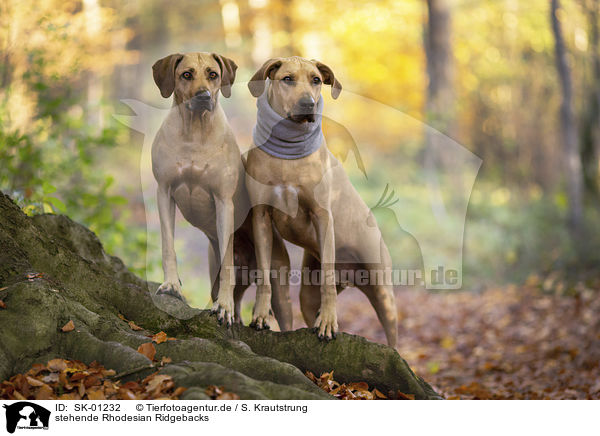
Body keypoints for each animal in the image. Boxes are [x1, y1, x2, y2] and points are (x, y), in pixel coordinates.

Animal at [152, 52, 292, 330]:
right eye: (186, 74)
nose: (204, 95)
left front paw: (223, 308)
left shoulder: (223, 201)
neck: (195, 132)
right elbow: (168, 244)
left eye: (213, 74)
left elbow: (227, 260)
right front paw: (172, 284)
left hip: (278, 278)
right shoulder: (164, 192)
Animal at [244, 56, 398, 346]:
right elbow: (264, 275)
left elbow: (326, 277)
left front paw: (328, 322)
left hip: (382, 287)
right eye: (288, 78)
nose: (309, 104)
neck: (288, 156)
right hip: (307, 294)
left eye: (316, 80)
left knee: (391, 330)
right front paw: (260, 314)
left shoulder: (322, 215)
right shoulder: (261, 215)